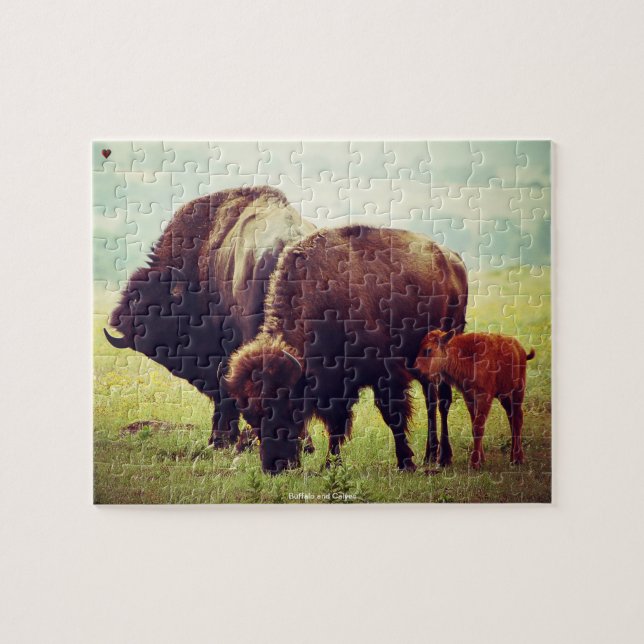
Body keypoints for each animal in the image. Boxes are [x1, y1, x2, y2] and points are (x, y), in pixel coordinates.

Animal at [225, 225, 468, 474]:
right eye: (250, 416)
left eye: (290, 407)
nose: (275, 466)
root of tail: (453, 260)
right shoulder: (336, 385)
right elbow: (336, 425)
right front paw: (331, 464)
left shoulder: (386, 376)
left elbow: (392, 416)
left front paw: (405, 462)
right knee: (431, 399)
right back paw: (430, 455)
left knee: (442, 400)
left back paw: (443, 457)